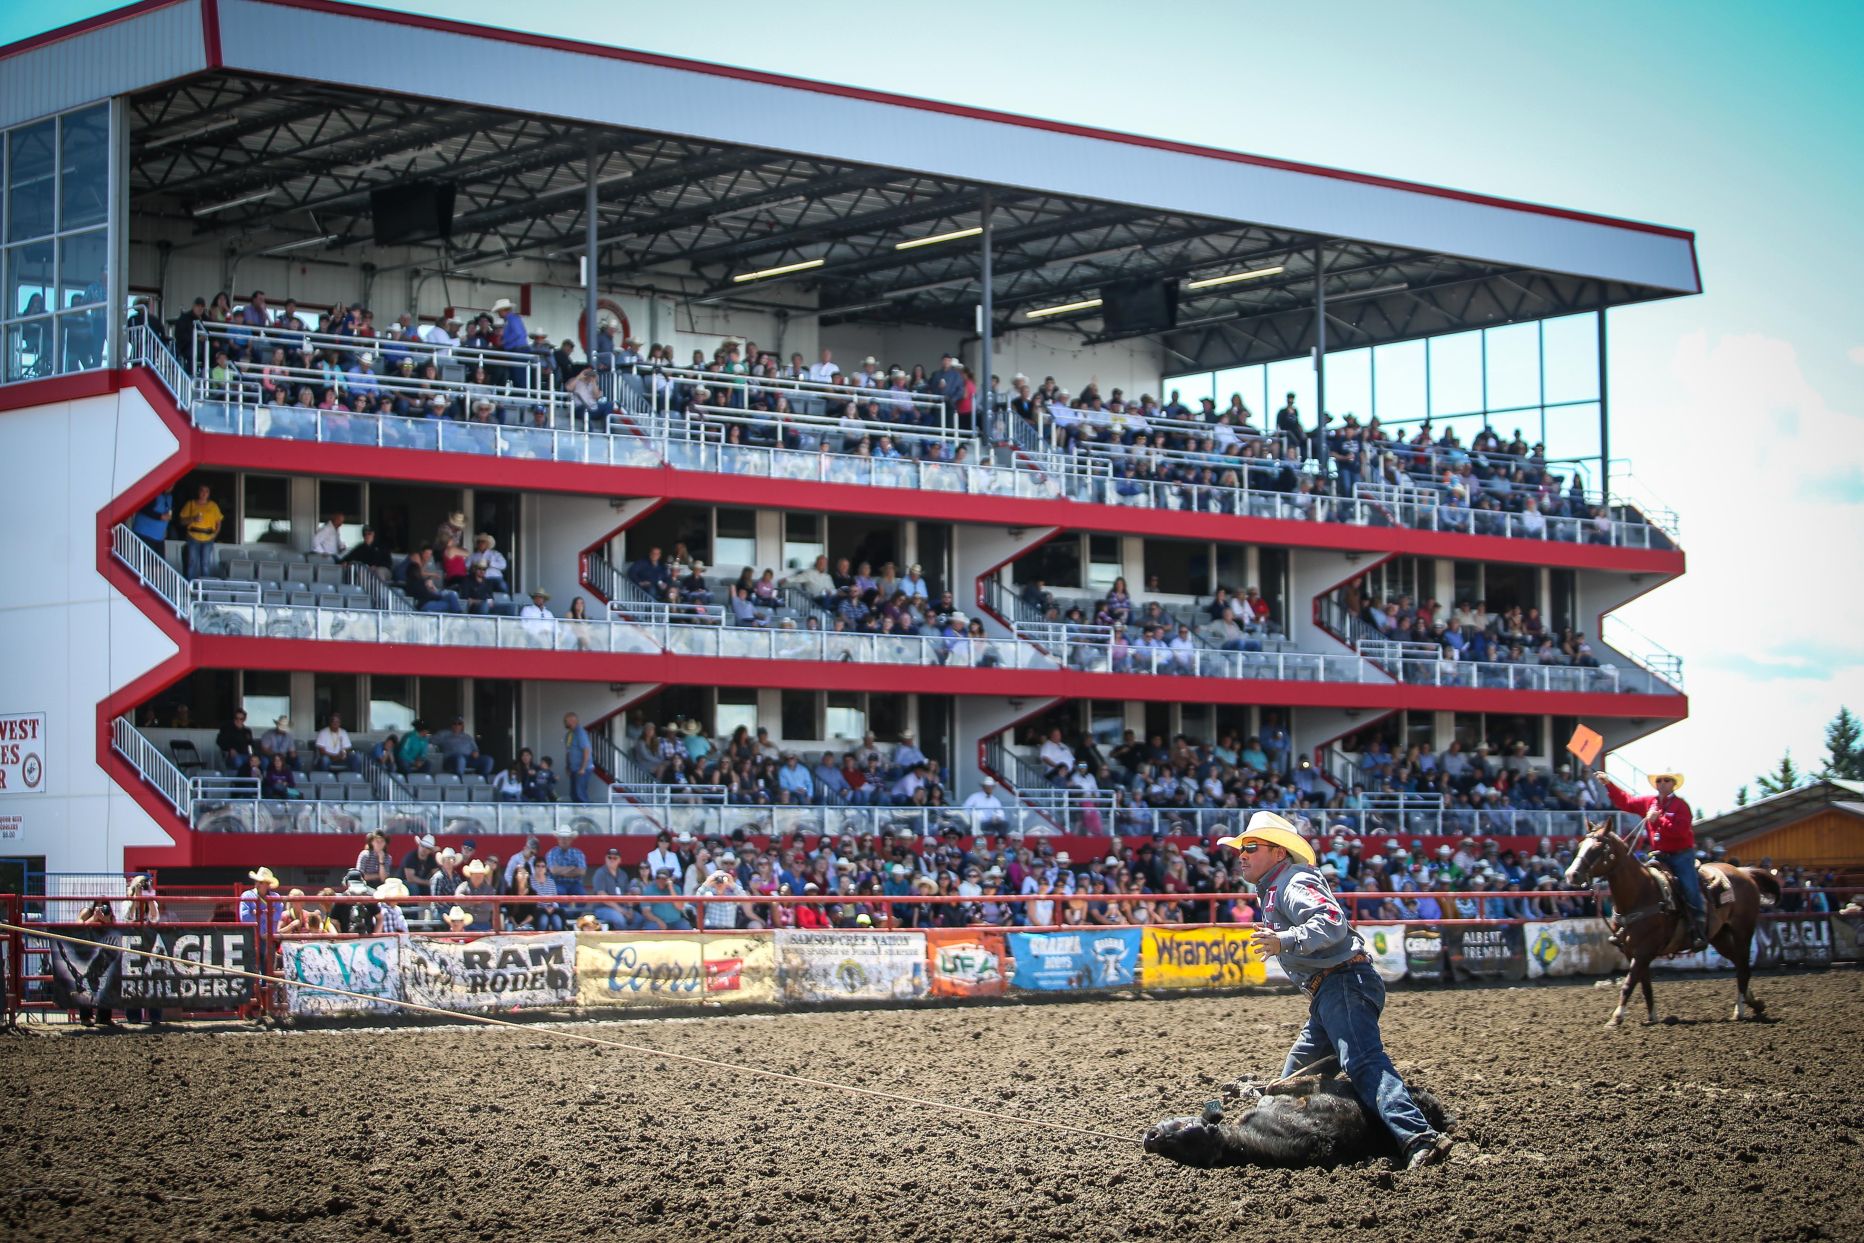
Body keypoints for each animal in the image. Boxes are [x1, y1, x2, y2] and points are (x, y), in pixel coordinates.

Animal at [1565, 819, 1781, 1028]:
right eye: (1581, 845)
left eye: (1599, 847)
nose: (1571, 874)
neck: (1640, 893)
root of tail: (1744, 873)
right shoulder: (1632, 952)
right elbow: (1644, 985)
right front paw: (1652, 1017)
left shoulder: (1644, 950)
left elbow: (1629, 983)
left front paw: (1616, 1017)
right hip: (1720, 936)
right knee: (1738, 963)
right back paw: (1753, 1003)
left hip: (1743, 931)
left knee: (1743, 967)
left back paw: (1740, 1011)